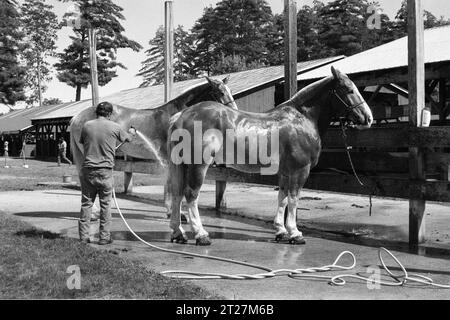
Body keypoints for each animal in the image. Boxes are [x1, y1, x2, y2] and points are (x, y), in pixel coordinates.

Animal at [69, 75, 239, 215]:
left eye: (230, 91)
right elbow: (171, 184)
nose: (235, 112)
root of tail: (76, 117)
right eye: (220, 92)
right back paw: (94, 211)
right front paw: (174, 213)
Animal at [167, 67, 374, 245]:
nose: (368, 118)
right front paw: (295, 233)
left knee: (177, 193)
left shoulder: (285, 171)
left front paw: (281, 231)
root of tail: (181, 116)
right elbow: (294, 198)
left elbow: (282, 197)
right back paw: (201, 235)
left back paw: (178, 233)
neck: (302, 119)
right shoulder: (300, 170)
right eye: (349, 89)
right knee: (191, 195)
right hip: (198, 165)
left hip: (182, 165)